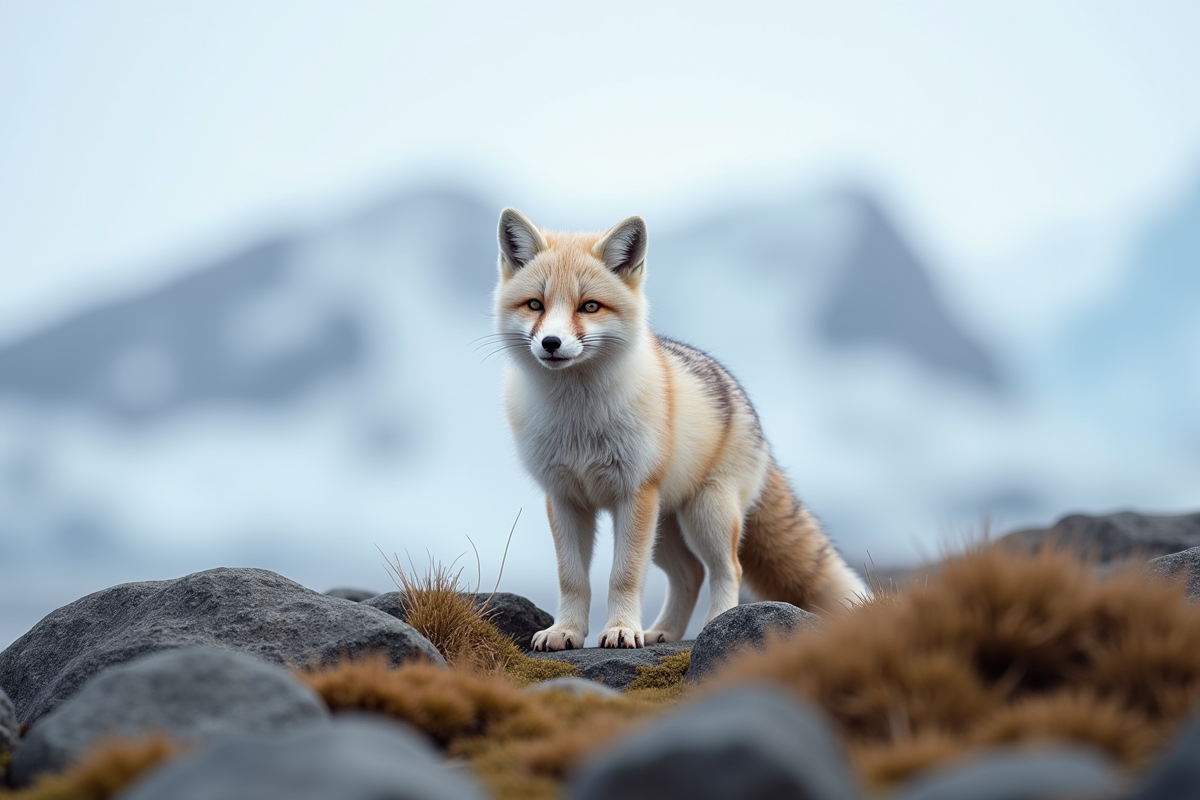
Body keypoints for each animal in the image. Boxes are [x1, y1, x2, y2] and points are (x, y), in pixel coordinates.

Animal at [494, 208, 868, 651]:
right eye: (535, 304)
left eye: (590, 306)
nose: (551, 343)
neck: (579, 420)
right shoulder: (565, 498)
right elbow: (572, 579)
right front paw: (566, 631)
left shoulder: (633, 495)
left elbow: (623, 576)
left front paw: (621, 629)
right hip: (665, 530)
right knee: (690, 573)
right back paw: (663, 632)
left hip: (705, 516)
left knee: (728, 569)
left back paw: (718, 622)